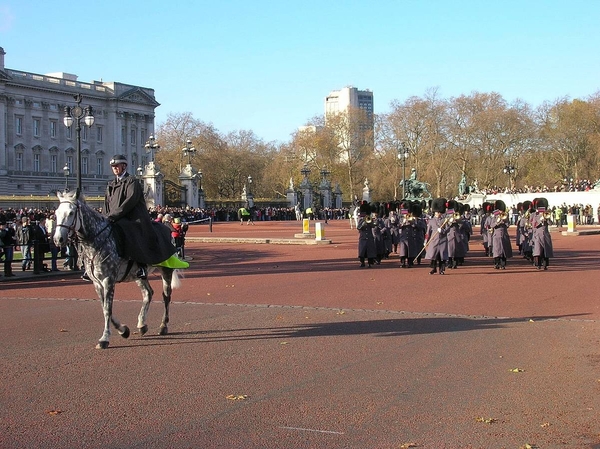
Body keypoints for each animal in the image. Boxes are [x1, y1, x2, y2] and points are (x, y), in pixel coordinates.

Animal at [53, 189, 180, 350]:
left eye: (70, 213)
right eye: (56, 213)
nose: (58, 239)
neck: (96, 242)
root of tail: (166, 227)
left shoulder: (109, 280)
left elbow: (108, 309)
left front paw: (105, 338)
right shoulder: (97, 282)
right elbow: (104, 307)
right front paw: (123, 330)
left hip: (166, 270)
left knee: (166, 296)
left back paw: (163, 325)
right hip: (138, 275)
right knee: (148, 293)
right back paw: (142, 324)